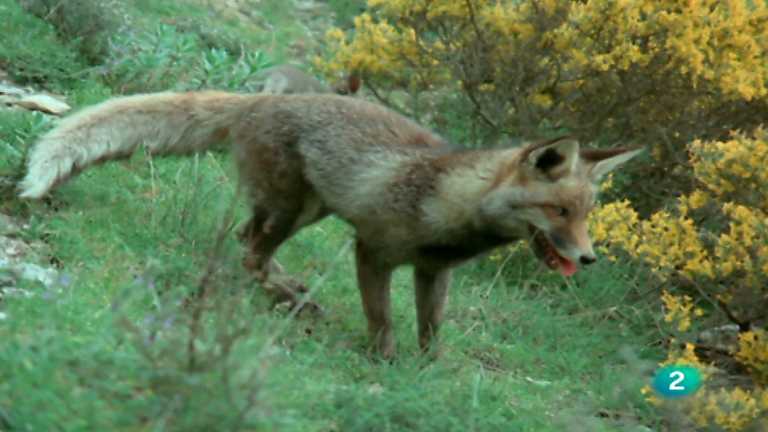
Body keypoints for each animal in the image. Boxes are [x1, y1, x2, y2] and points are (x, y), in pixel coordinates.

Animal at [19, 91, 642, 357]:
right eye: (560, 212)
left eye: (587, 216)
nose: (588, 259)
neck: (445, 203)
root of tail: (259, 99)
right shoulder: (372, 250)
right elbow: (382, 321)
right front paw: (384, 365)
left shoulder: (433, 271)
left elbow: (431, 330)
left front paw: (427, 371)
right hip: (292, 209)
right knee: (249, 252)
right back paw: (286, 297)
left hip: (307, 209)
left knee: (248, 246)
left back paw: (286, 289)